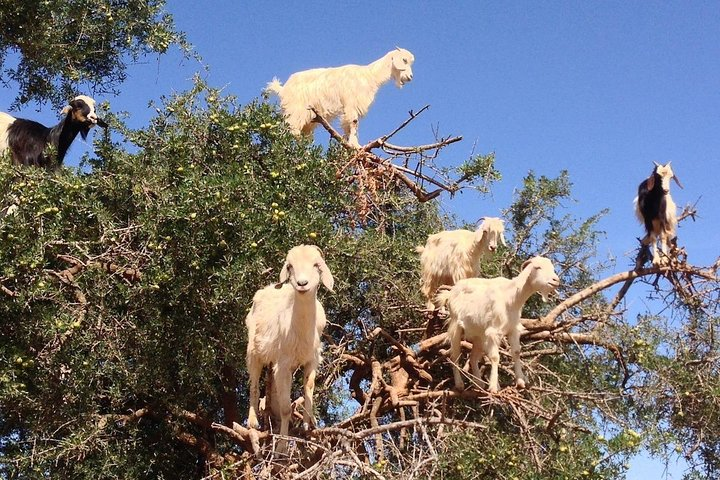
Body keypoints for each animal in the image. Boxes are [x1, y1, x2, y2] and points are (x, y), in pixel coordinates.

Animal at [242, 246, 332, 448]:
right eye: (290, 266)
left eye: (316, 265)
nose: (302, 283)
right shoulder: (283, 364)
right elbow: (285, 409)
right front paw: (282, 447)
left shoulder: (312, 360)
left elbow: (309, 388)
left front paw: (308, 423)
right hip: (254, 351)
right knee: (254, 384)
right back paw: (253, 421)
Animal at [264, 48, 414, 148]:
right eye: (404, 60)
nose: (410, 77)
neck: (369, 76)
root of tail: (282, 89)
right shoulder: (351, 103)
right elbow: (353, 122)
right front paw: (355, 145)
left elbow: (349, 125)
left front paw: (350, 143)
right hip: (296, 111)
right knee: (290, 130)